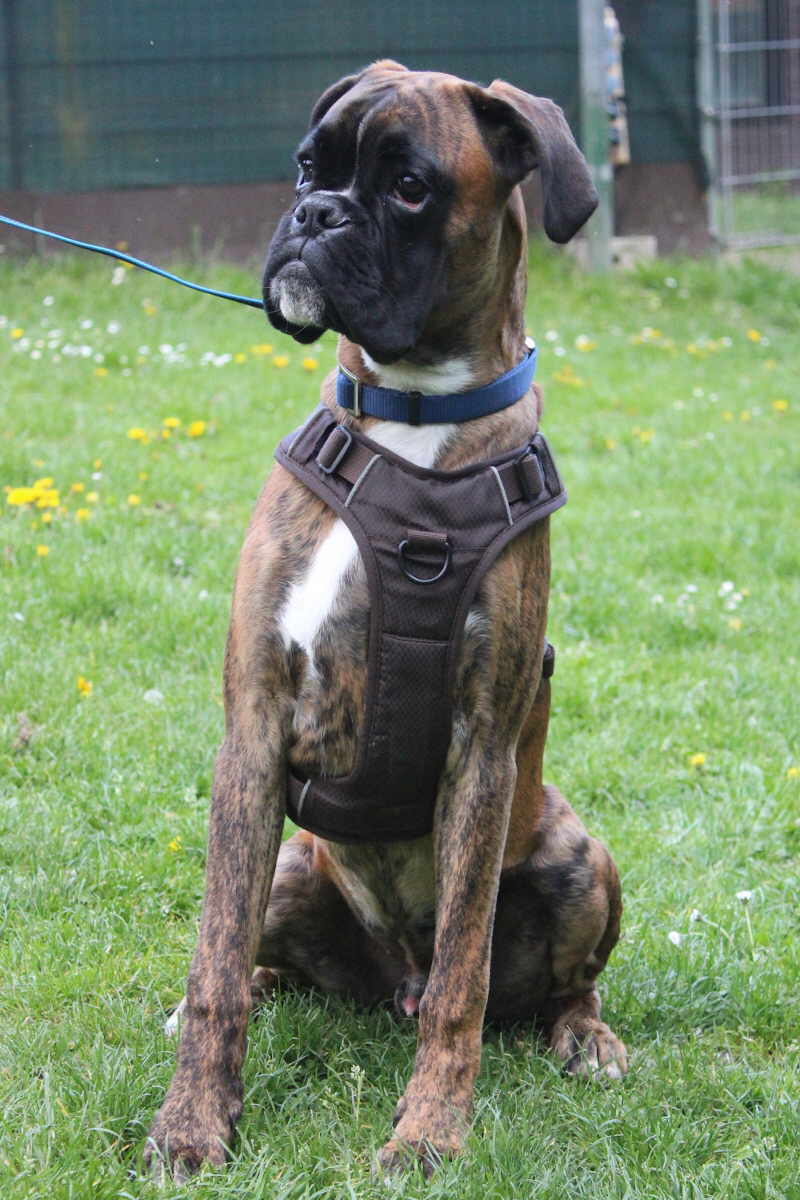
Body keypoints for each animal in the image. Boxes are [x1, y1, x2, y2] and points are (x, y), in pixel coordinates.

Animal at [145, 60, 627, 1181]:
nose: (314, 214)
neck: (414, 421)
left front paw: (428, 1130)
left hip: (579, 858)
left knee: (532, 985)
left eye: (409, 188)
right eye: (305, 167)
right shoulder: (253, 729)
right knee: (261, 963)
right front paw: (193, 1121)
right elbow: (213, 956)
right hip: (290, 864)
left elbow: (462, 978)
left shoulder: (482, 752)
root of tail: (386, 978)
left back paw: (584, 1037)